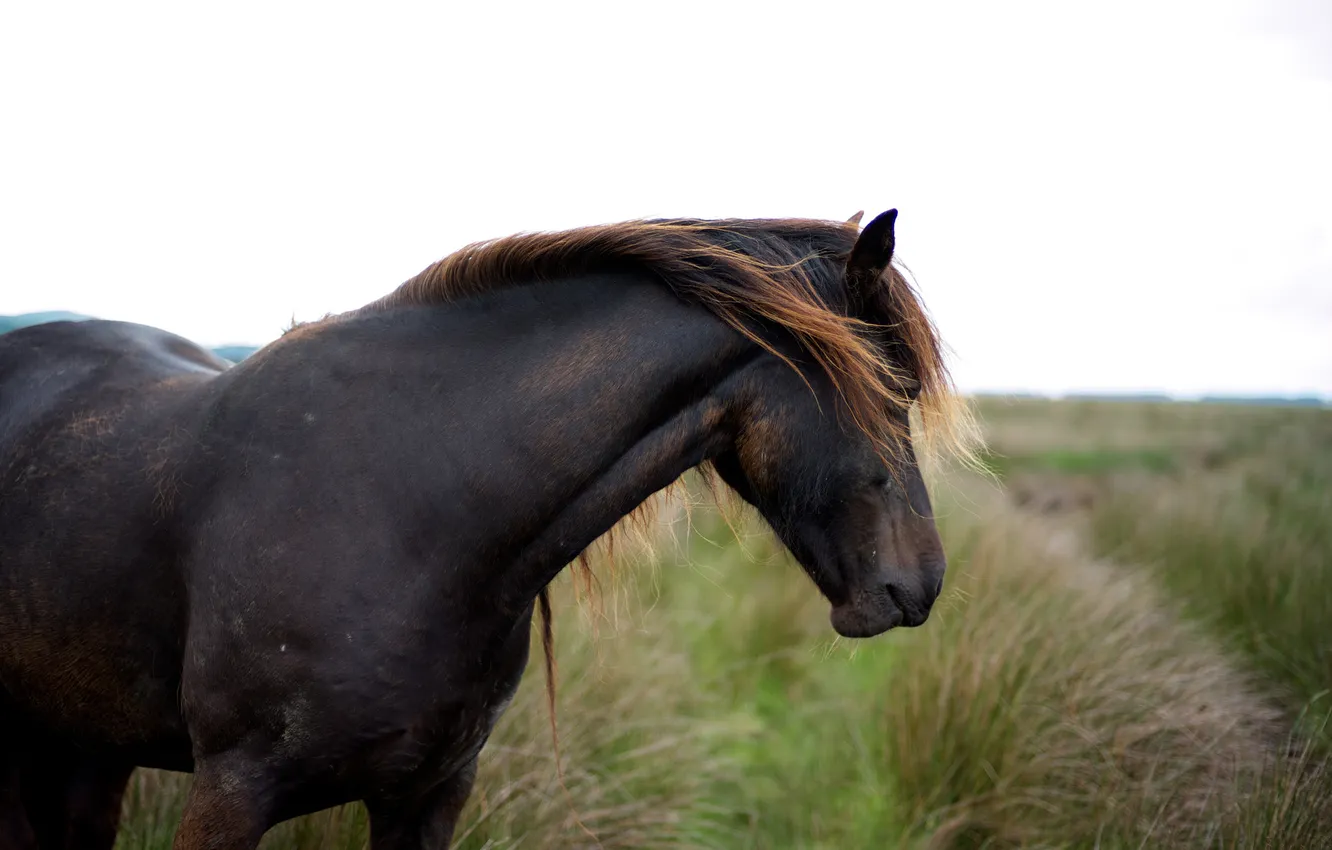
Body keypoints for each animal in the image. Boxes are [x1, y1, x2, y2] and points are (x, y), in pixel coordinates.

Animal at [2, 207, 980, 850]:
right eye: (888, 389)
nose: (918, 585)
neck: (413, 513)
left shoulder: (430, 794)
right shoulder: (231, 793)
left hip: (86, 748)